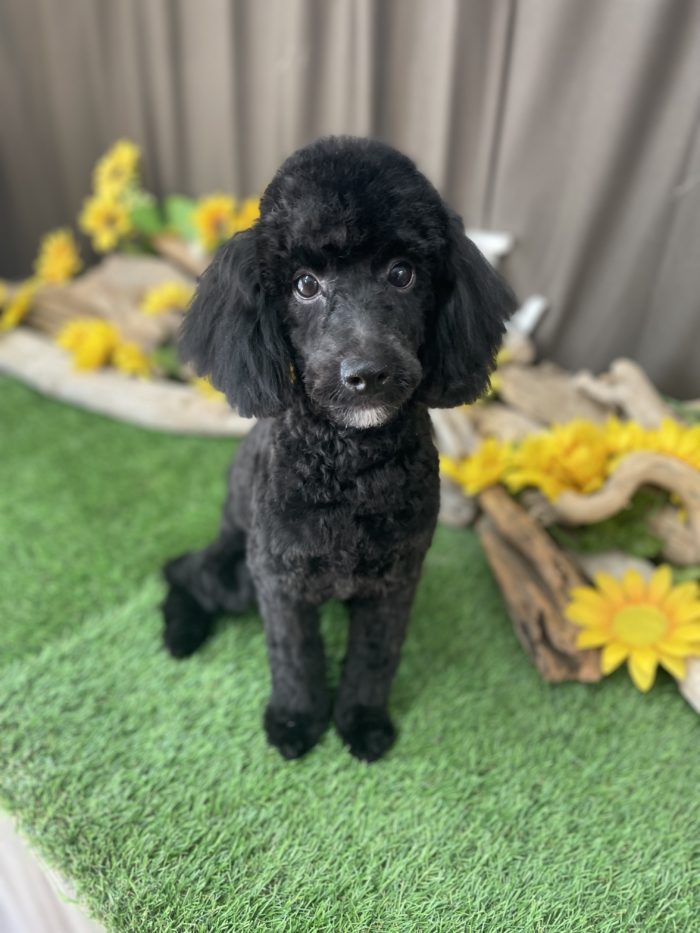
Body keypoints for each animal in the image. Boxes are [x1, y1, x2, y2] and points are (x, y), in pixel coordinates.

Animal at [162, 136, 516, 762]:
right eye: (305, 284)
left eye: (402, 273)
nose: (367, 374)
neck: (353, 469)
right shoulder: (277, 579)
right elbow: (295, 656)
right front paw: (296, 721)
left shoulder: (395, 580)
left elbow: (375, 657)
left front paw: (363, 722)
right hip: (237, 572)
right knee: (184, 570)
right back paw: (181, 632)